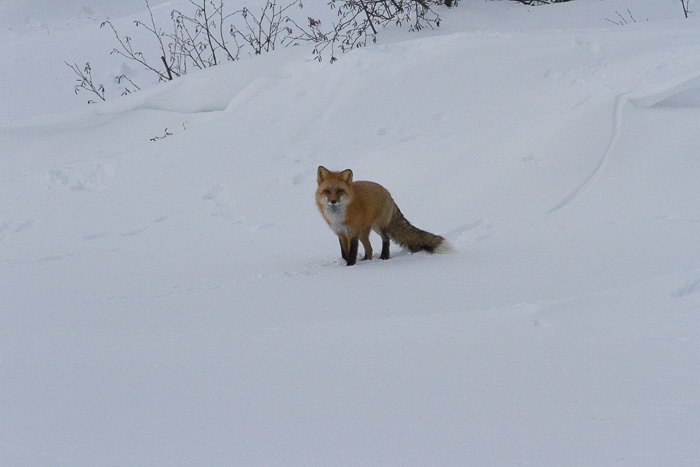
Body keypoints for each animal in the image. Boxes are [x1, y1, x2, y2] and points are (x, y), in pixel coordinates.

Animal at [316, 165, 448, 266]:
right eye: (327, 191)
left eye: (339, 191)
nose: (333, 201)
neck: (338, 217)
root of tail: (388, 193)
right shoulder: (340, 233)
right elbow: (344, 252)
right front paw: (345, 263)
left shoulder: (352, 232)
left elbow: (352, 252)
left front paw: (350, 266)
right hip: (363, 233)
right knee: (369, 249)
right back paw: (366, 260)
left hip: (377, 226)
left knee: (386, 238)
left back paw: (384, 256)